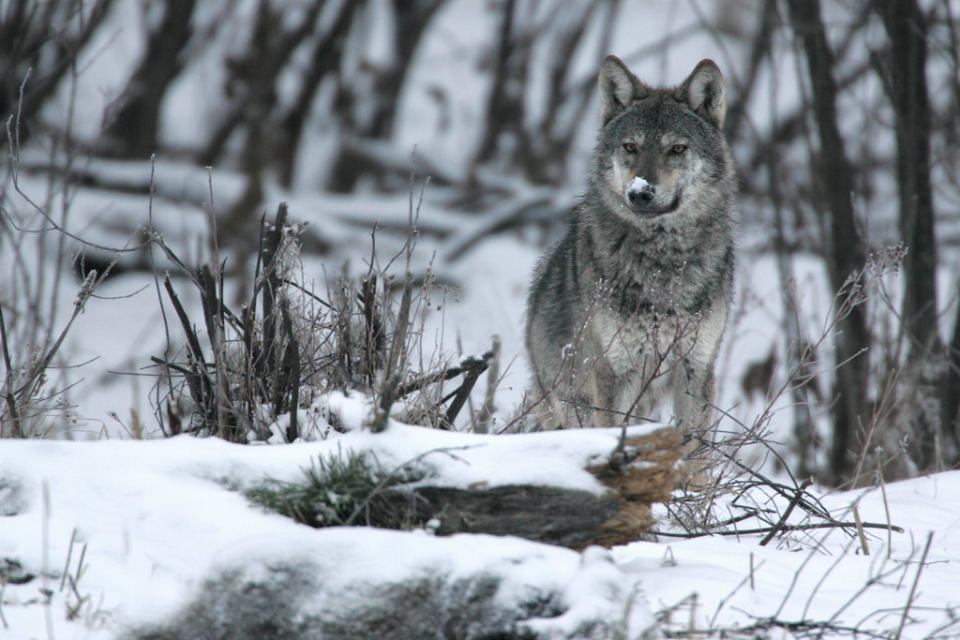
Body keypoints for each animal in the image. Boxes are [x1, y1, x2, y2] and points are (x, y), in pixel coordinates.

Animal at [524, 55, 736, 440]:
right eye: (631, 147)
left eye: (677, 148)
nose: (640, 192)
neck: (663, 261)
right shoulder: (613, 371)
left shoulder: (696, 369)